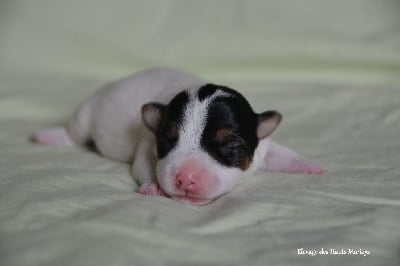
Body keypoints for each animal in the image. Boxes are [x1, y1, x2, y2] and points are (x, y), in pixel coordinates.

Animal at [32, 67, 324, 205]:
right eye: (167, 141)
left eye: (229, 144)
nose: (185, 179)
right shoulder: (146, 143)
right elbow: (144, 165)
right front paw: (153, 185)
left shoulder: (263, 145)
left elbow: (282, 153)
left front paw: (310, 165)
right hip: (85, 113)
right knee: (73, 134)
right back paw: (47, 137)